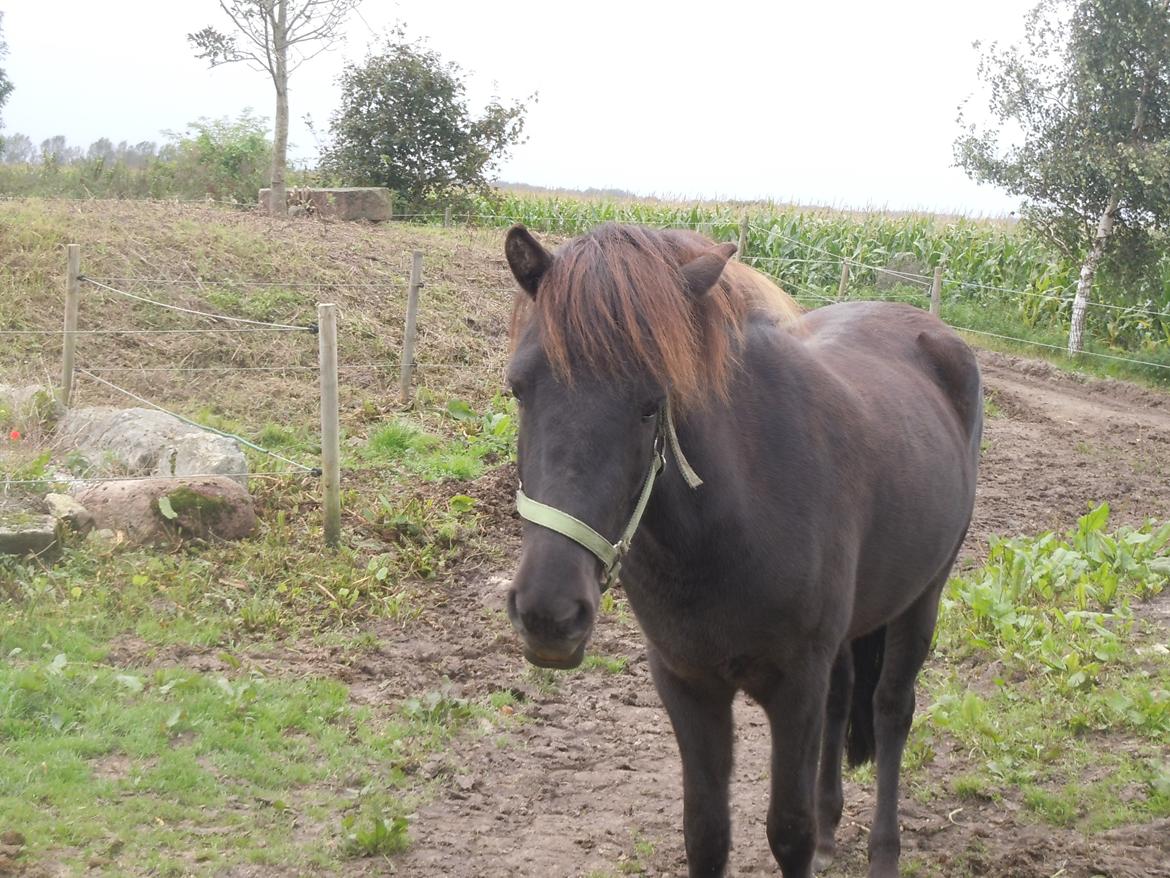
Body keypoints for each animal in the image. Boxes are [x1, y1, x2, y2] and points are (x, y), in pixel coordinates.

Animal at [500, 223, 978, 878]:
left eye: (653, 401)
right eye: (518, 388)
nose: (549, 614)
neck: (728, 524)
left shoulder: (794, 685)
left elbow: (789, 830)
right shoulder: (686, 682)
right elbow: (706, 832)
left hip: (923, 596)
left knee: (890, 709)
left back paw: (884, 853)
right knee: (843, 698)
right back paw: (834, 828)